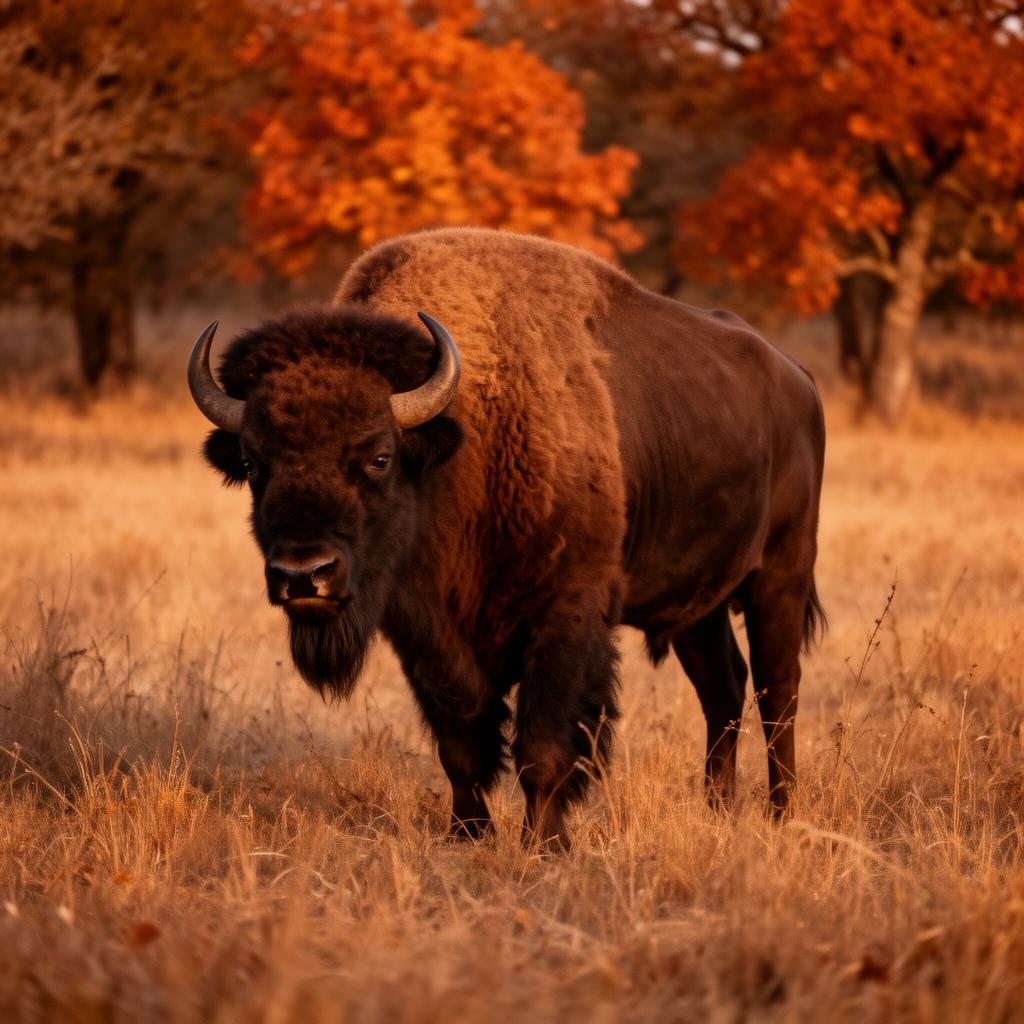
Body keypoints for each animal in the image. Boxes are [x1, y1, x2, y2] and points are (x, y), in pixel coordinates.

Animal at [189, 228, 825, 846]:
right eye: (253, 464)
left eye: (379, 456)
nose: (304, 574)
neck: (460, 443)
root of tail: (797, 377)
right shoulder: (425, 636)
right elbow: (461, 743)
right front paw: (467, 834)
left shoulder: (565, 618)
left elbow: (542, 746)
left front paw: (544, 843)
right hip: (698, 605)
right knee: (724, 687)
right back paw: (716, 809)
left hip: (780, 576)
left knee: (778, 691)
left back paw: (781, 814)